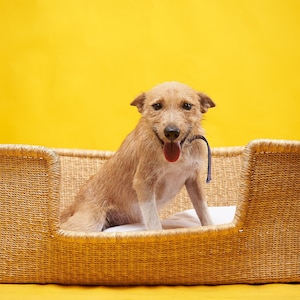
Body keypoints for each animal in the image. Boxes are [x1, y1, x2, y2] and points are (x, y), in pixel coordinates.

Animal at [60, 82, 216, 232]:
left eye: (187, 106)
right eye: (157, 106)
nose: (171, 132)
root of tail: (73, 204)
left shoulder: (193, 180)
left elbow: (203, 210)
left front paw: (211, 228)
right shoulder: (143, 183)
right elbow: (153, 221)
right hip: (90, 222)